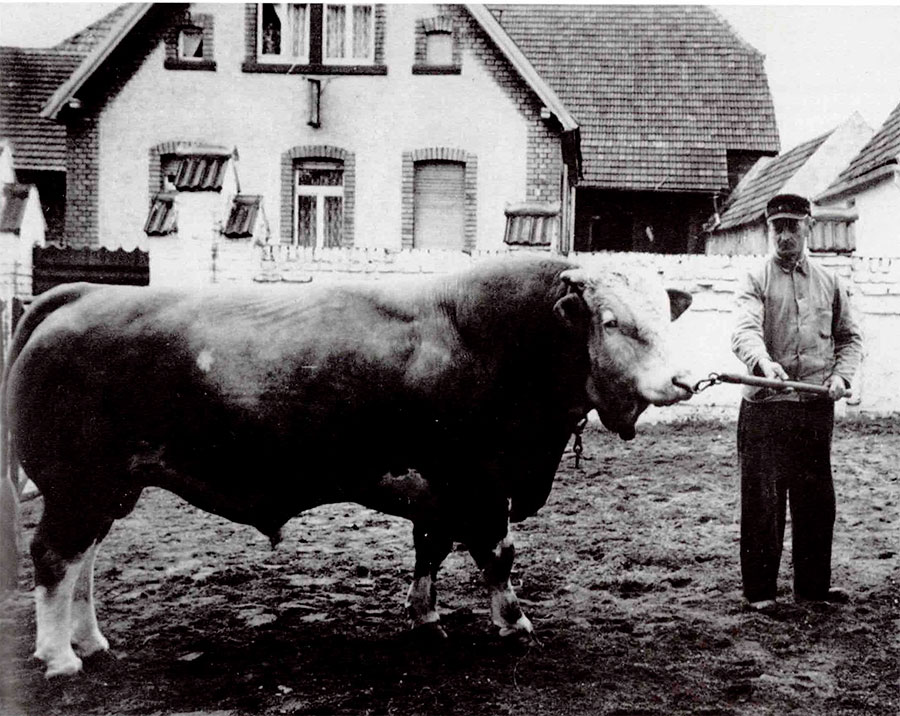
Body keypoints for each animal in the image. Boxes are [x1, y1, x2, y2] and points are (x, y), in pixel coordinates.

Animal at [0, 256, 692, 676]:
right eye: (613, 321)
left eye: (666, 315)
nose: (683, 380)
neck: (497, 338)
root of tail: (84, 295)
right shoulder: (478, 482)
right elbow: (497, 554)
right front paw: (513, 622)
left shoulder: (438, 491)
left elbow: (430, 550)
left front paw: (426, 617)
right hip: (77, 484)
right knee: (55, 558)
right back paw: (59, 657)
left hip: (106, 488)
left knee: (84, 561)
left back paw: (90, 641)